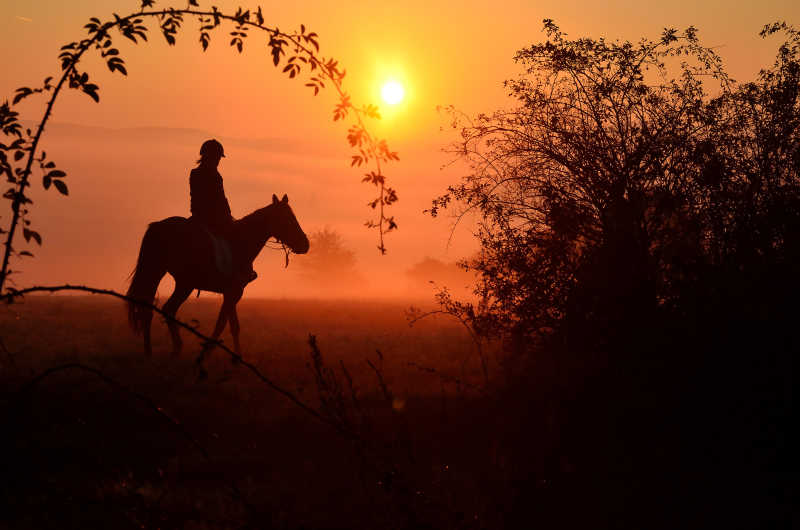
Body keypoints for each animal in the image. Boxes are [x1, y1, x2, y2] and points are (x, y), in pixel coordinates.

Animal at [126, 193, 310, 354]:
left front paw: (236, 356)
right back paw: (168, 349)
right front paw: (208, 353)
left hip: (169, 278)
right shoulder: (233, 292)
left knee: (154, 309)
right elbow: (222, 324)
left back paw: (160, 350)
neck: (241, 241)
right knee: (162, 308)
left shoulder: (232, 293)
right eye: (287, 219)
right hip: (177, 281)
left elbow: (233, 326)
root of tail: (159, 226)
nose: (305, 244)